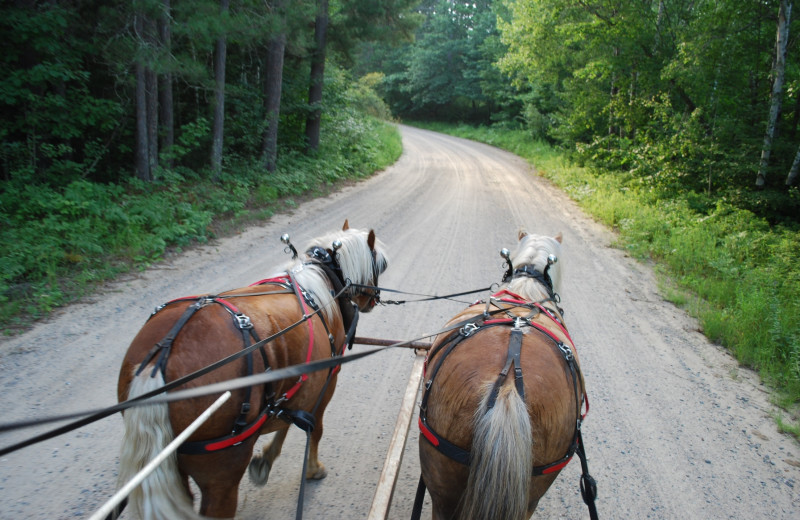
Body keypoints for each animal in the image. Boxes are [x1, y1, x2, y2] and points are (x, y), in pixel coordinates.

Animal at [117, 220, 390, 520]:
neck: (322, 281)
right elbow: (313, 426)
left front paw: (266, 460)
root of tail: (160, 357)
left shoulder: (293, 385)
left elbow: (289, 418)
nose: (373, 300)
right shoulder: (326, 380)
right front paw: (311, 468)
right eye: (380, 265)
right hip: (222, 469)